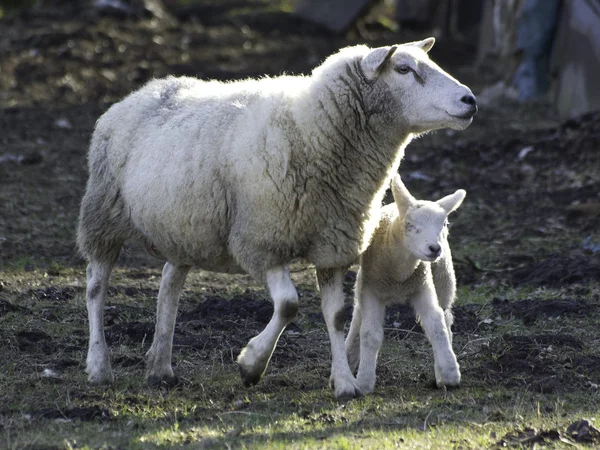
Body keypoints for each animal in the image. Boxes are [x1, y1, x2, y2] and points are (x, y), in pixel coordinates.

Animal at [344, 175, 466, 394]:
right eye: (409, 225)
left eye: (444, 224)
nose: (434, 248)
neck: (399, 277)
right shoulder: (371, 289)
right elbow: (370, 333)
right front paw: (365, 381)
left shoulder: (423, 284)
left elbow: (436, 326)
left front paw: (450, 373)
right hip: (363, 285)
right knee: (358, 316)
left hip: (443, 279)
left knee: (445, 318)